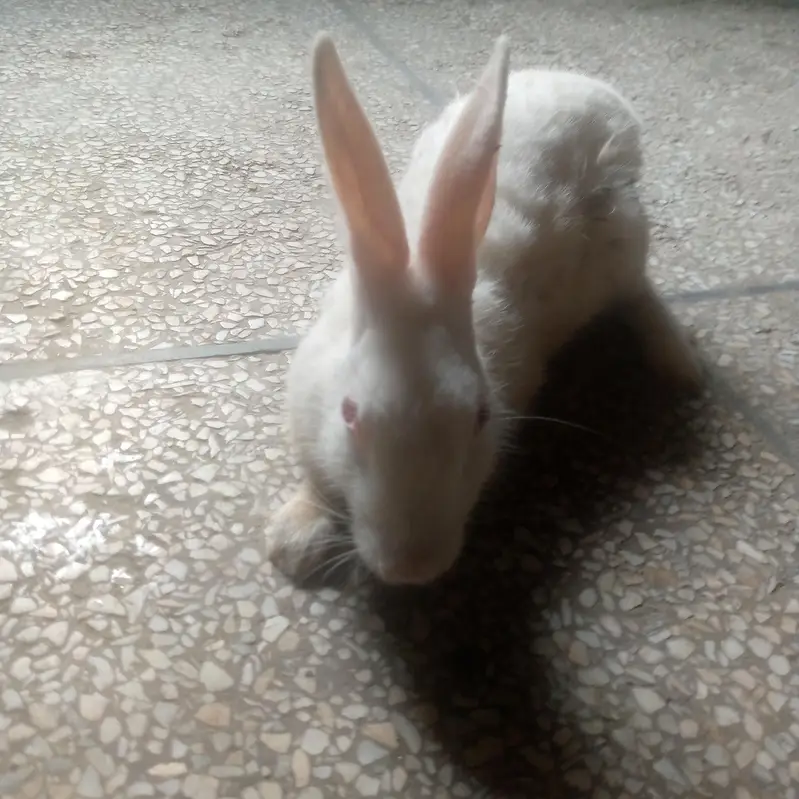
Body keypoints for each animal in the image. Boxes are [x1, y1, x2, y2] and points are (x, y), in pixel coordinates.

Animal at [264, 33, 703, 587]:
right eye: (349, 413)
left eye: (480, 417)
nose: (412, 568)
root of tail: (594, 95)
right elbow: (317, 482)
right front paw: (293, 542)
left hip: (624, 243)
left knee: (640, 292)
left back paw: (681, 363)